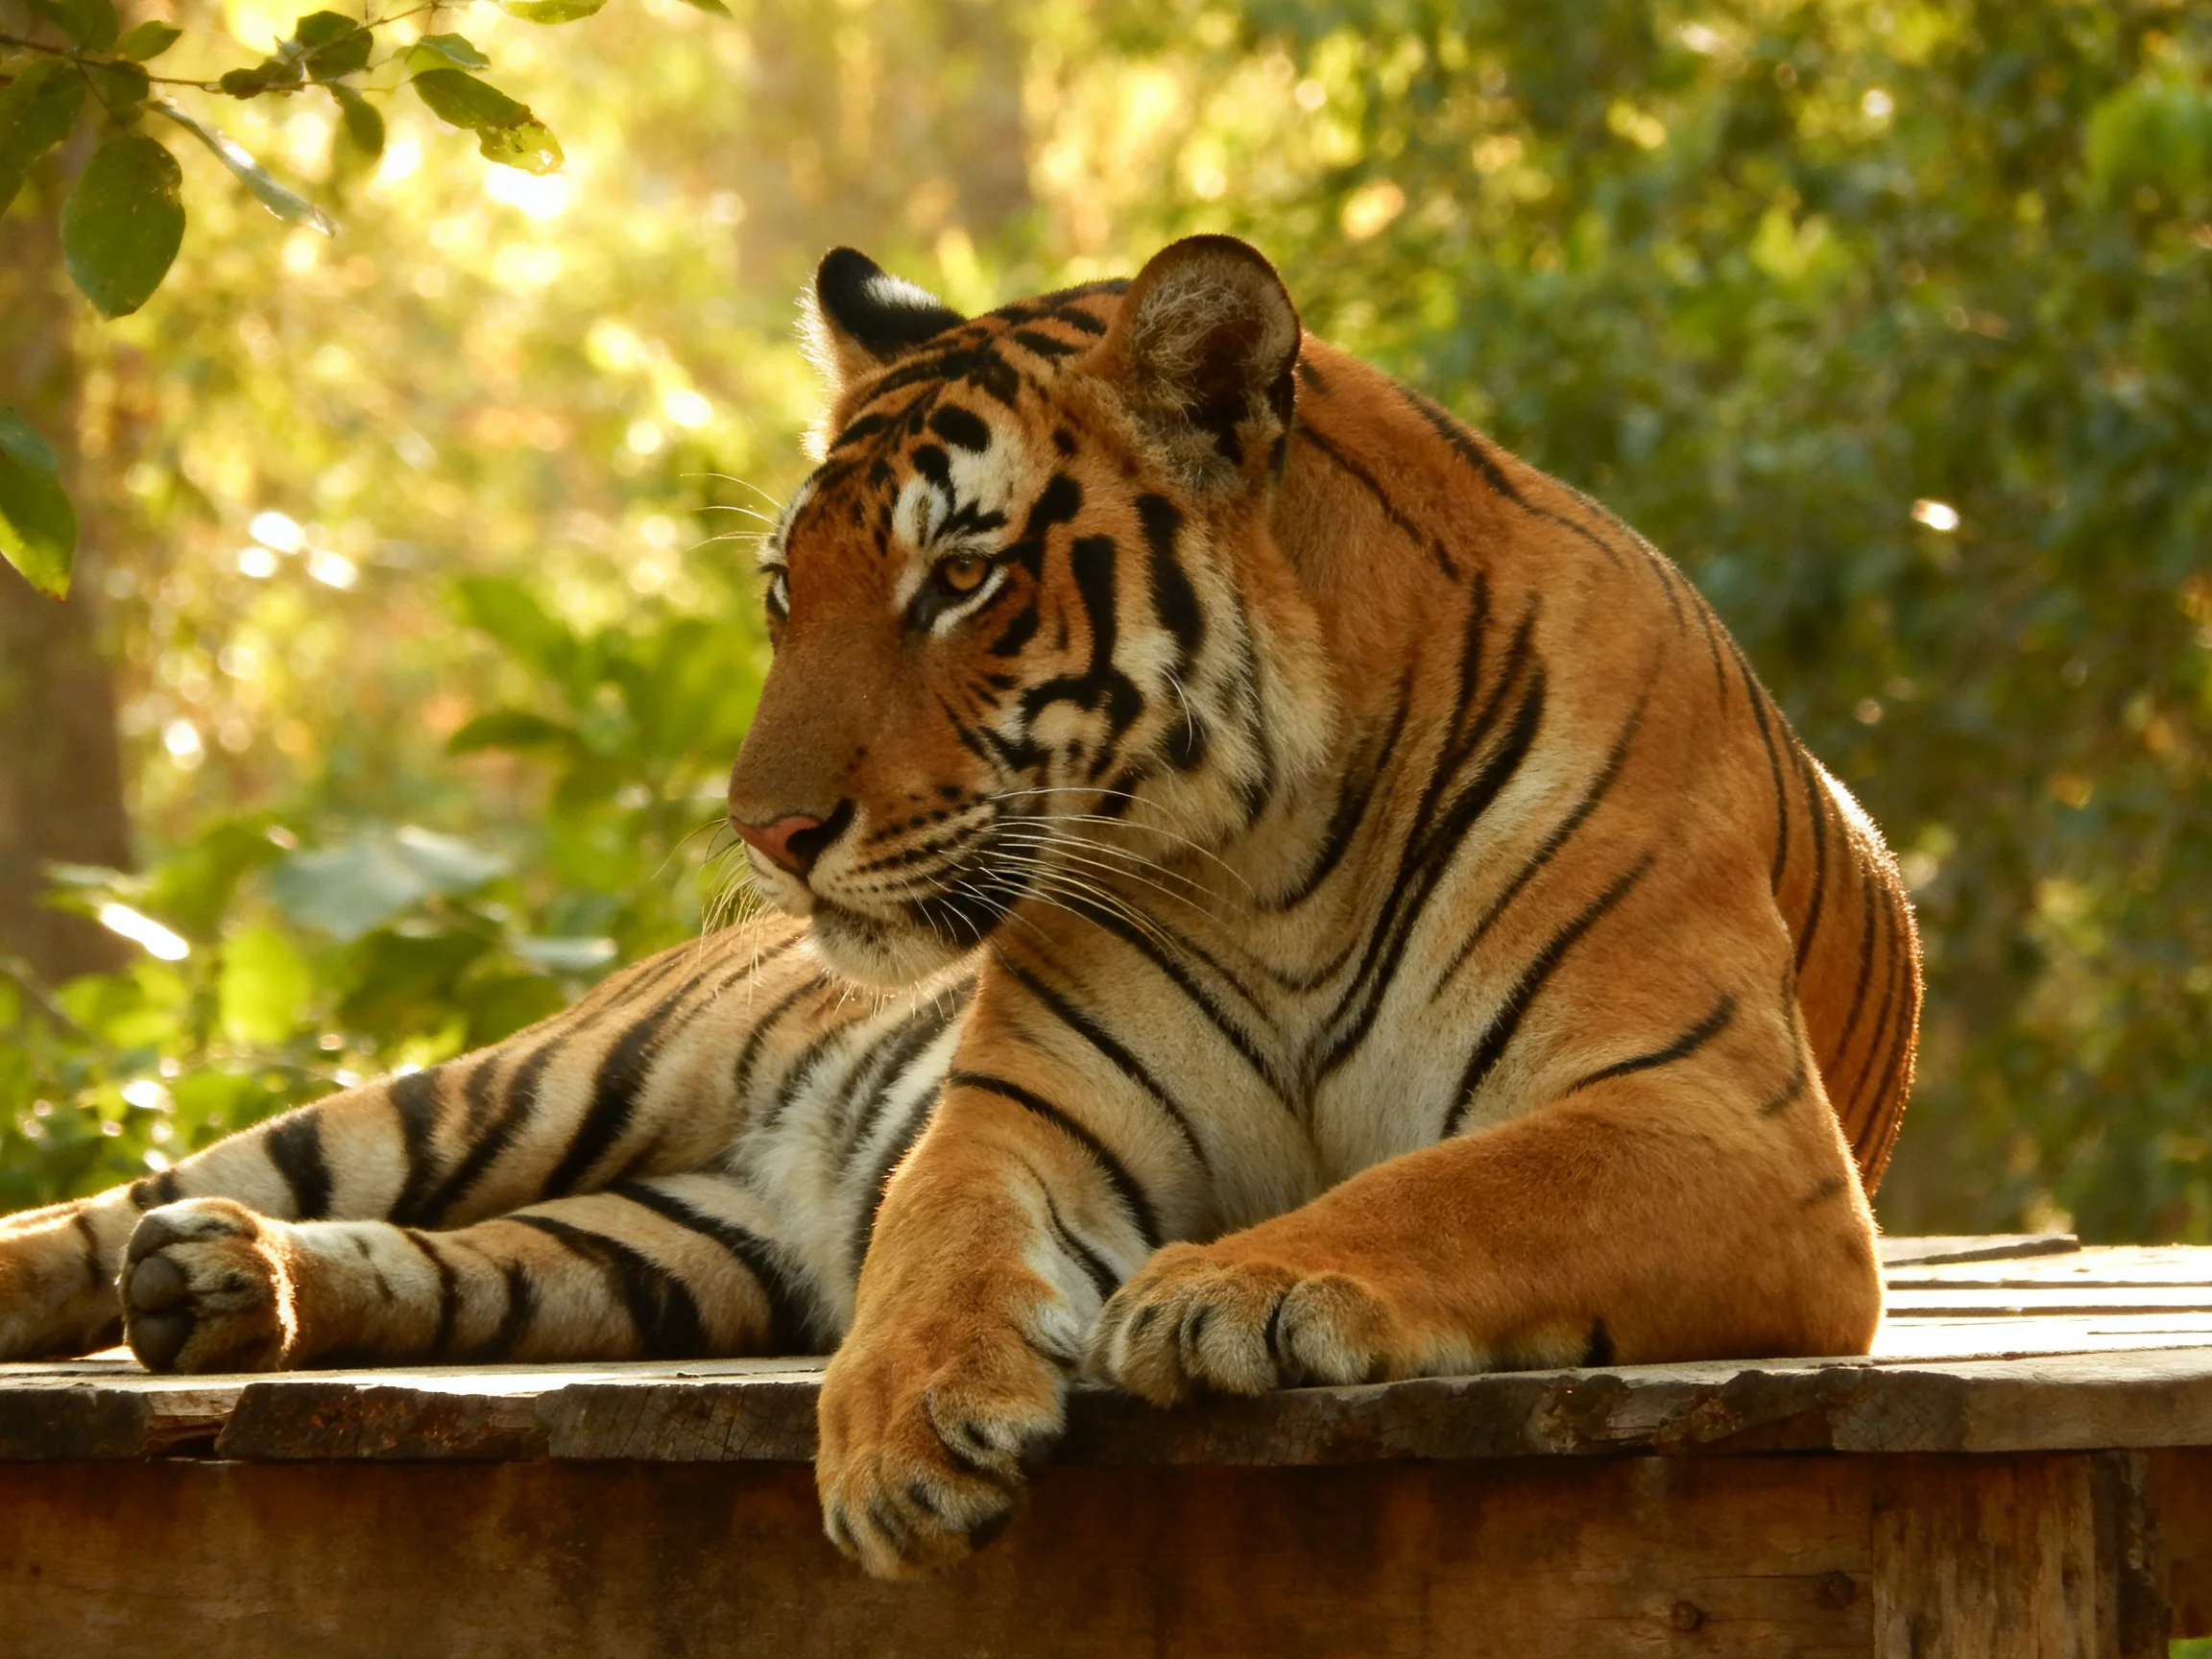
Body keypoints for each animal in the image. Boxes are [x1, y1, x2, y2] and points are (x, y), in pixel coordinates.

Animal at [0, 235, 1920, 1579]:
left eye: (962, 578)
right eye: (788, 590)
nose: (766, 830)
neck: (1273, 850)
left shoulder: (1707, 1114)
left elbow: (1455, 1184)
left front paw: (1231, 1291)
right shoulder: (1026, 1106)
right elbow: (940, 1235)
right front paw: (905, 1431)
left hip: (671, 1253)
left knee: (457, 1264)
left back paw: (231, 1291)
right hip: (531, 1086)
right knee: (161, 1194)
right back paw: (168, 1265)